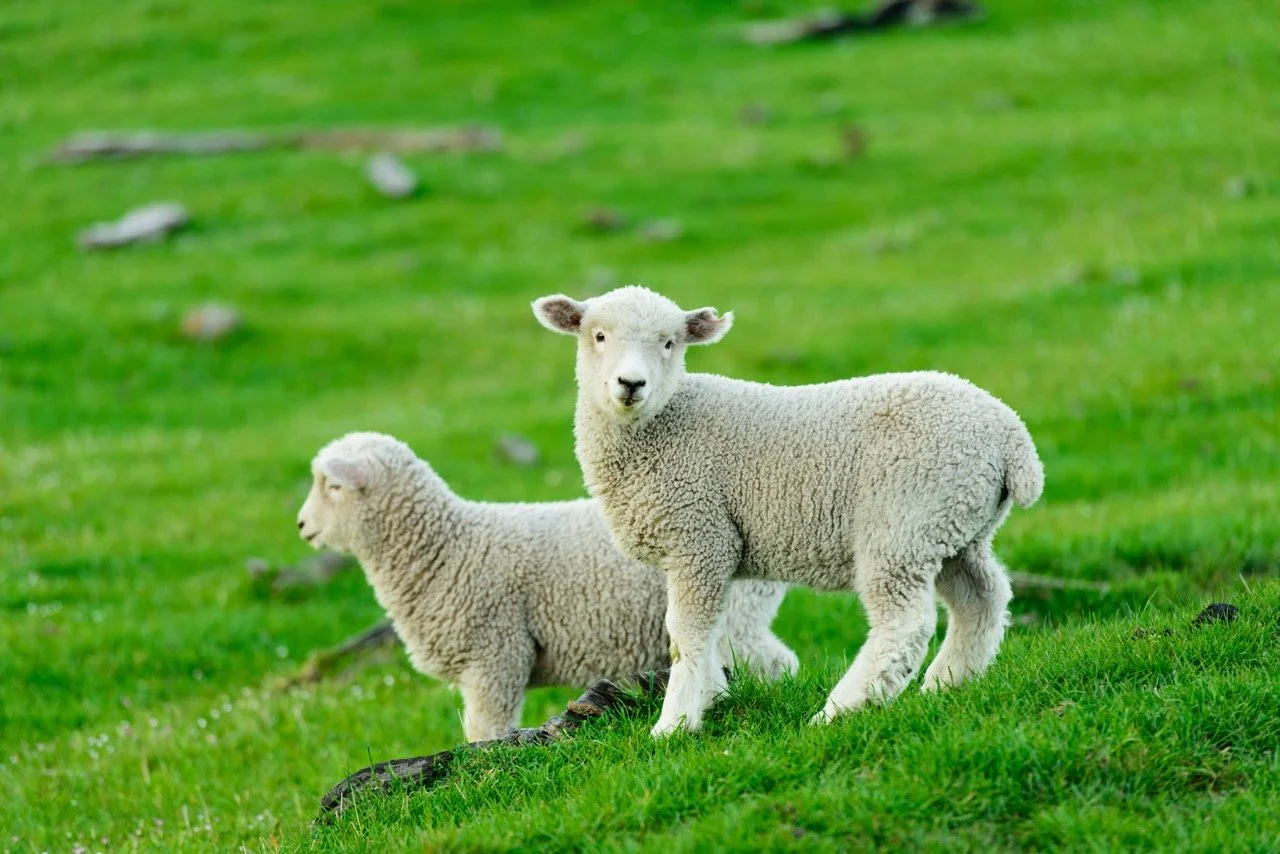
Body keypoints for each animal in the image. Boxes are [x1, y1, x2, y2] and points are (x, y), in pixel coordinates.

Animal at [295, 431, 798, 742]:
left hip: (735, 615)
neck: (446, 547)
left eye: (331, 486)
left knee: (776, 664)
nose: (301, 526)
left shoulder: (496, 655)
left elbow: (484, 730)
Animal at [532, 285, 1044, 737]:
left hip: (904, 521)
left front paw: (674, 724)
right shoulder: (707, 550)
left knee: (904, 624)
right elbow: (713, 631)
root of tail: (1012, 436)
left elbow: (686, 634)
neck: (663, 424)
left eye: (669, 342)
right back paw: (948, 683)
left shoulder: (700, 537)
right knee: (983, 598)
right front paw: (713, 698)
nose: (631, 384)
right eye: (598, 335)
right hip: (955, 527)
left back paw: (841, 709)